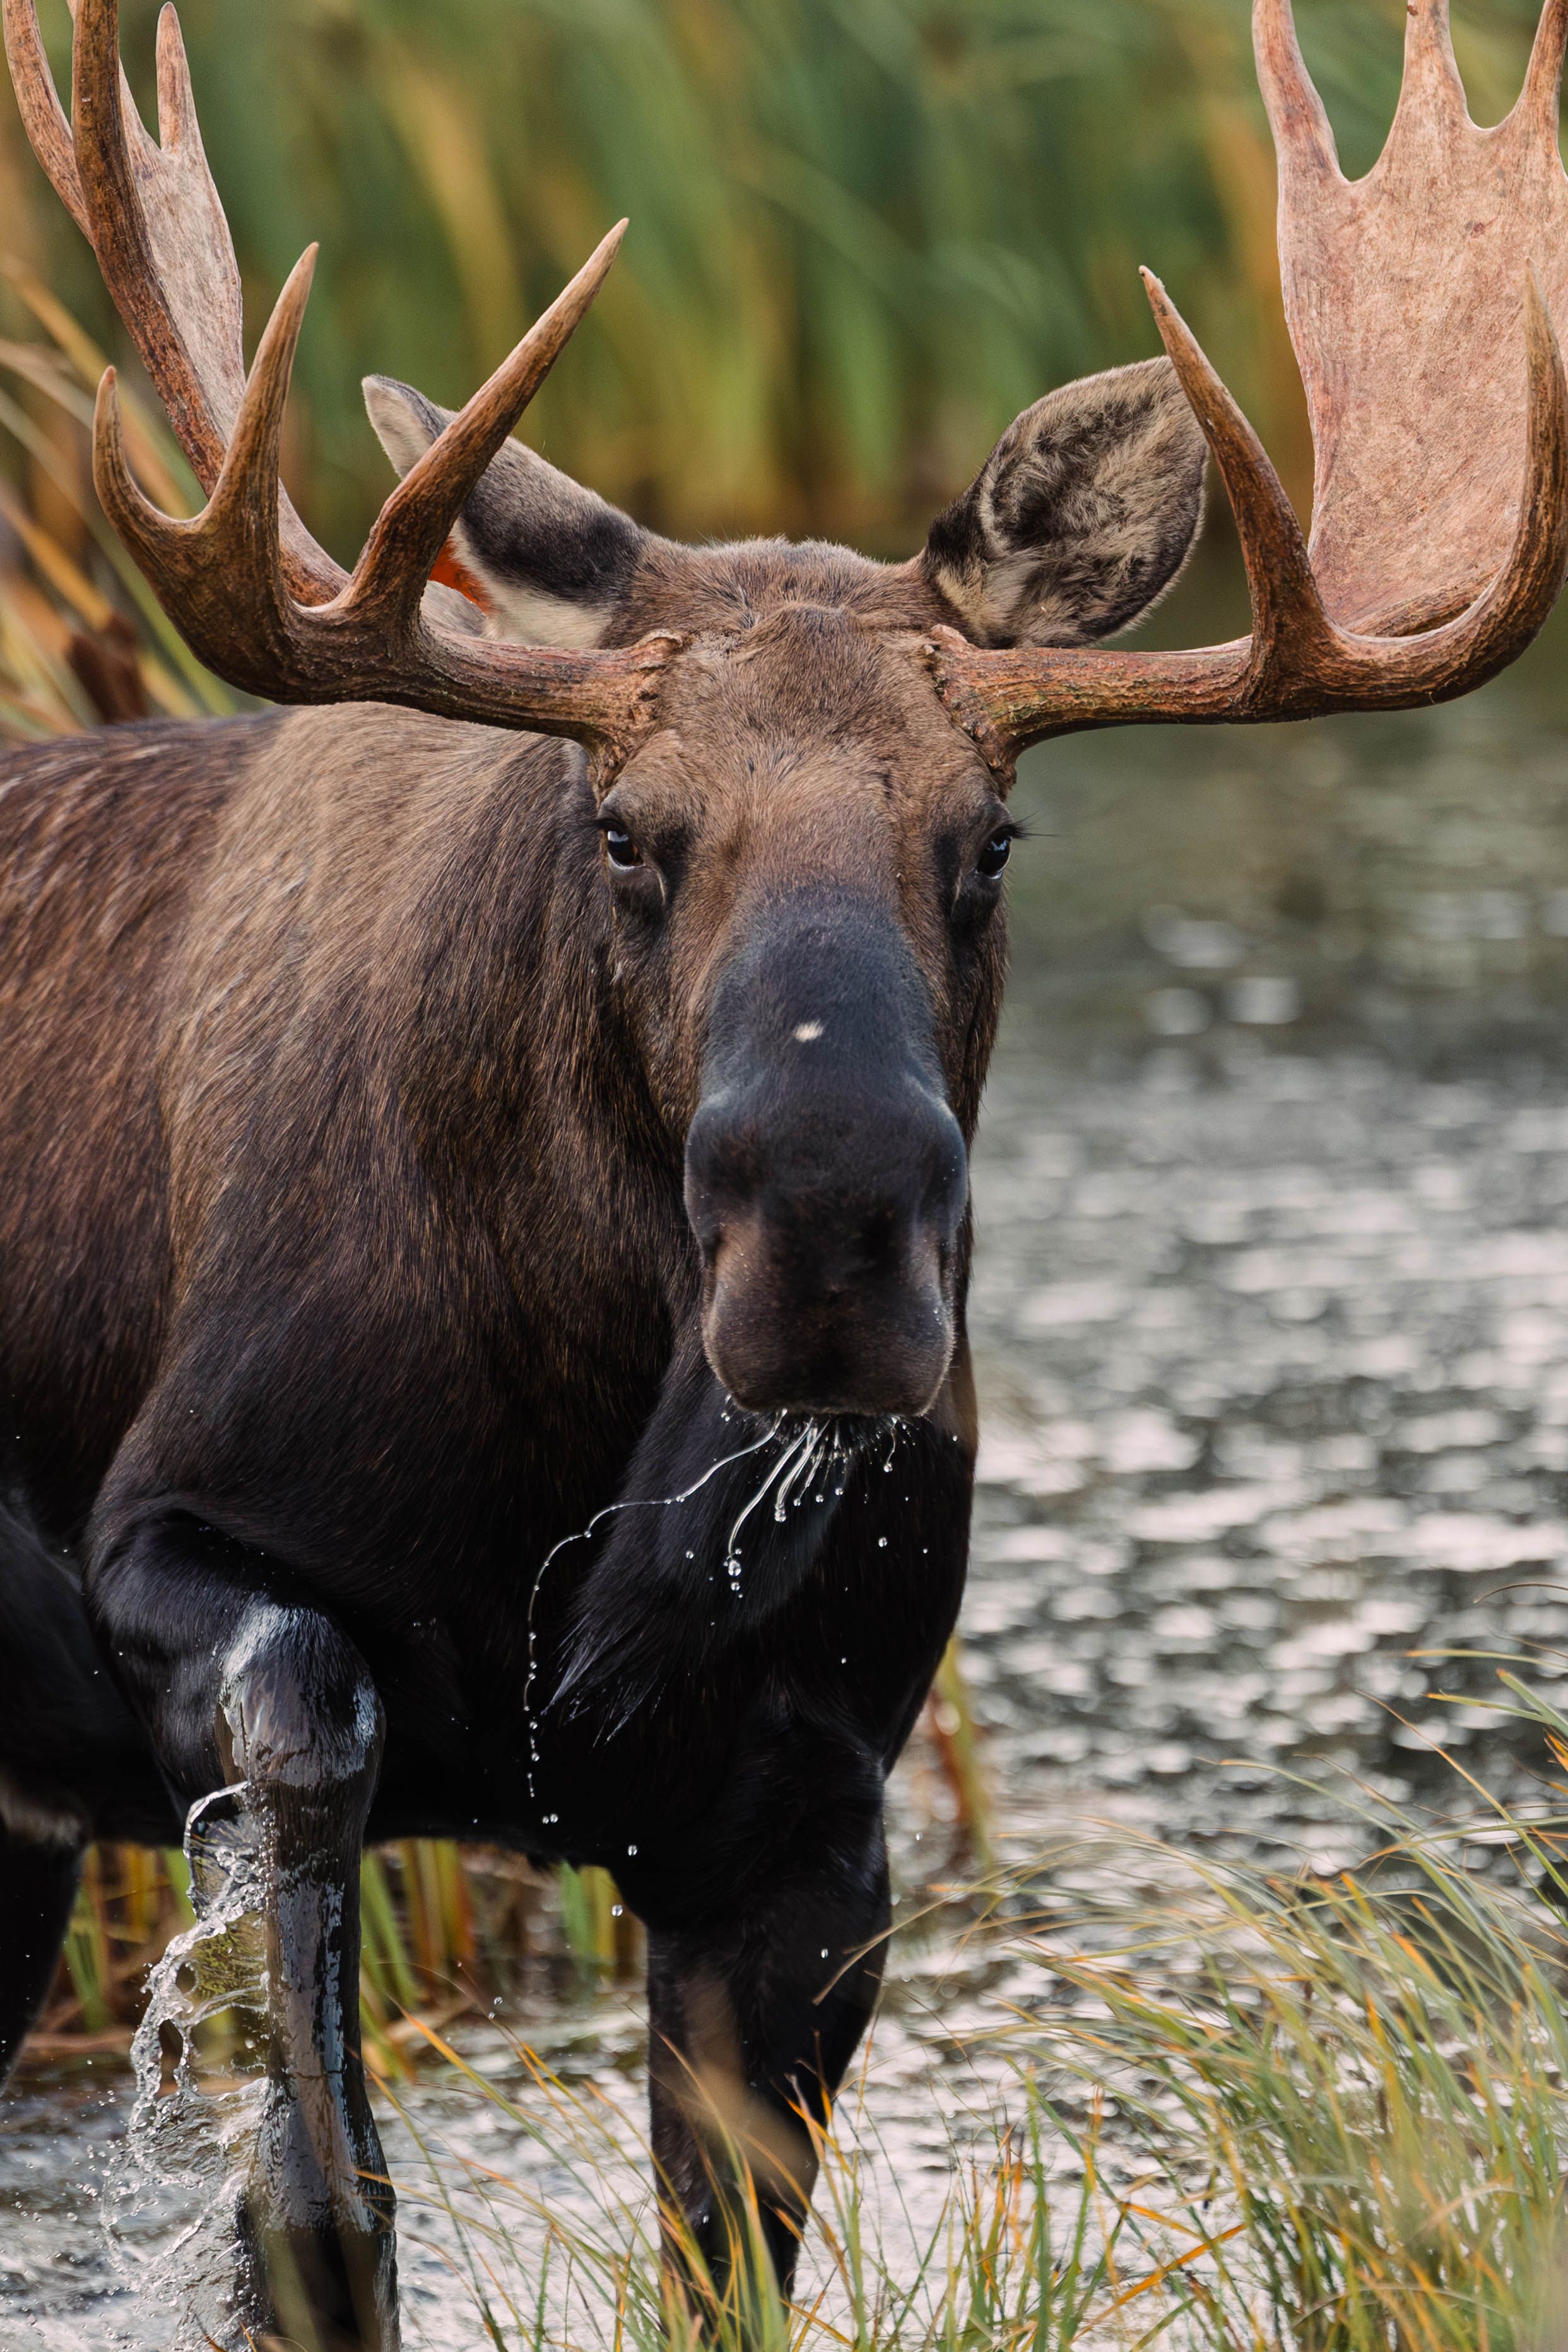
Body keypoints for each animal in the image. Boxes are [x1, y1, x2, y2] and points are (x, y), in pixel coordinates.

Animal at [1, 0, 1566, 2344]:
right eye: (624, 830)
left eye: (986, 838)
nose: (828, 1241)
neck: (564, 1476)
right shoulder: (161, 1537)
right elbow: (310, 1979)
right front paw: (312, 2192)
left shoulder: (814, 1826)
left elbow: (728, 2263)